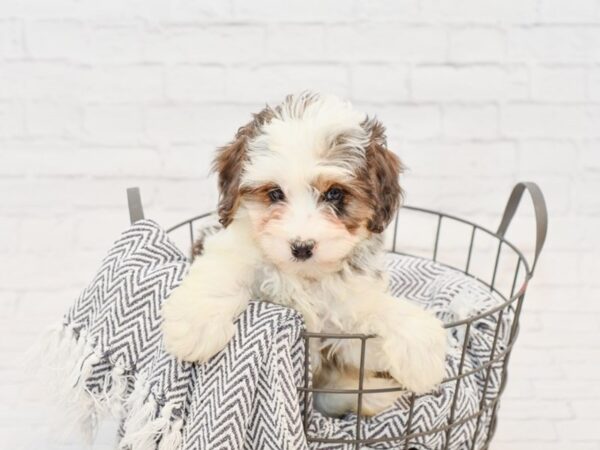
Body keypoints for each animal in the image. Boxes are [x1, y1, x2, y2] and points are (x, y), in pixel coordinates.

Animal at [162, 93, 448, 416]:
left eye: (334, 194)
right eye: (275, 193)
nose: (301, 247)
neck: (305, 276)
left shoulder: (351, 304)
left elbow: (379, 309)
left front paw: (422, 355)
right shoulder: (230, 243)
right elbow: (224, 269)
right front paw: (193, 326)